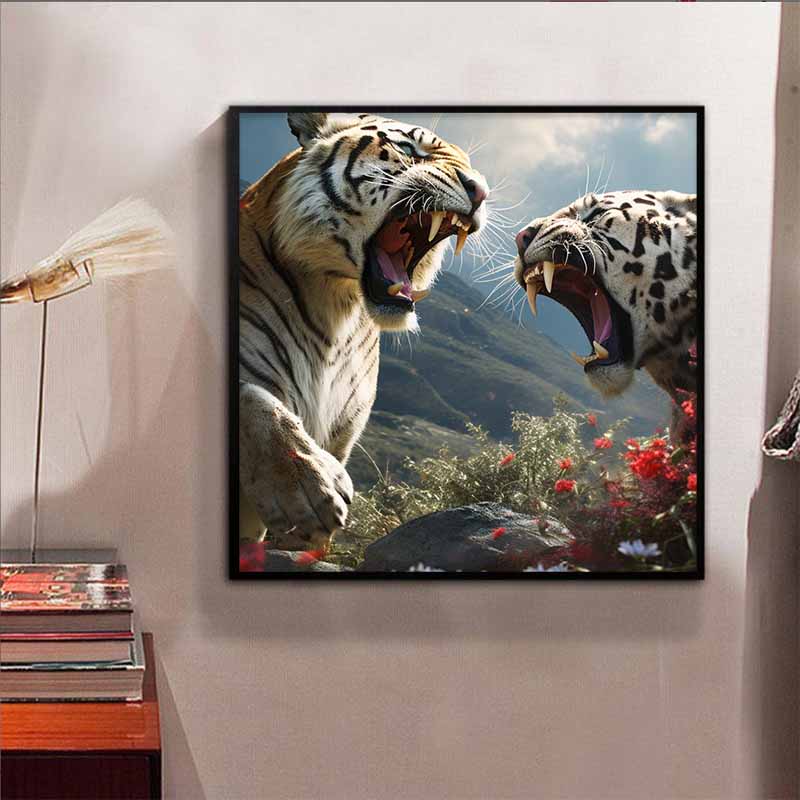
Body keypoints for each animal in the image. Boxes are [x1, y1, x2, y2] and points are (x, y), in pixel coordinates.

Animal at [239, 112, 489, 552]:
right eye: (408, 149)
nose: (481, 190)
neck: (337, 306)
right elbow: (255, 400)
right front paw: (313, 486)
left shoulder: (343, 432)